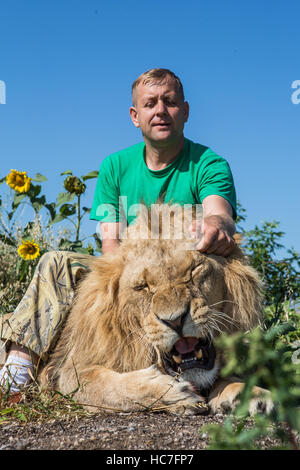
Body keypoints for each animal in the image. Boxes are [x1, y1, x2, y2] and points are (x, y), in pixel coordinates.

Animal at [41, 204, 274, 414]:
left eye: (193, 270)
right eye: (142, 286)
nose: (174, 320)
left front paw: (250, 394)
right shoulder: (70, 370)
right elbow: (103, 387)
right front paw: (171, 393)